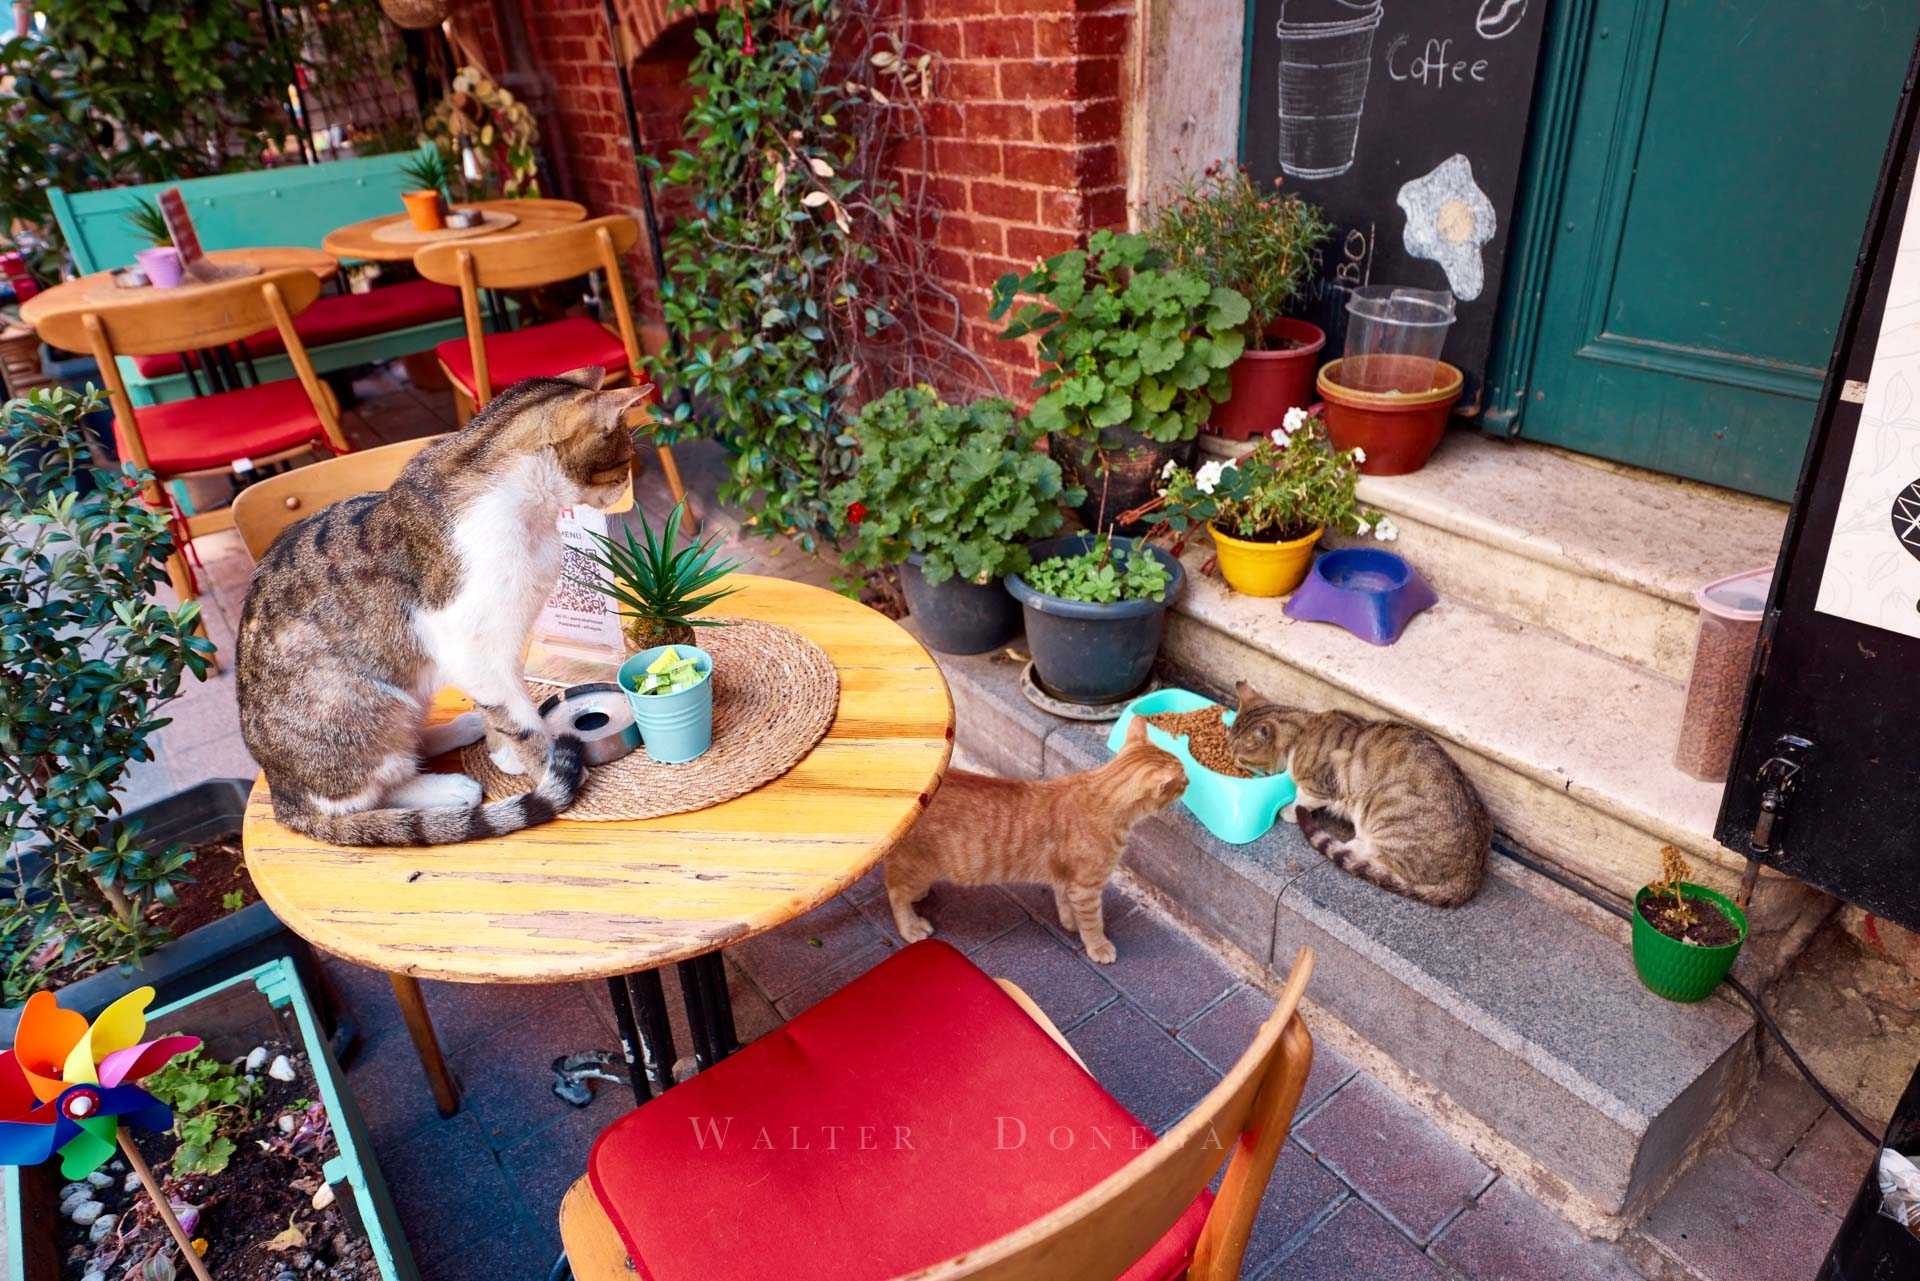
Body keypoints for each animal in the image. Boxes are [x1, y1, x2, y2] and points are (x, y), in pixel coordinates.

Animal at [883, 722, 1182, 960]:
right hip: (917, 869)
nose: (1188, 781)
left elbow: (1065, 902)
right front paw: (1098, 946)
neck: (1101, 793)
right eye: (1183, 780)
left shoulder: (1068, 880)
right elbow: (1093, 922)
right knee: (895, 892)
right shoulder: (1087, 888)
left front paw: (1070, 922)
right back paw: (911, 926)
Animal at [1228, 687, 1482, 906]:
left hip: (1387, 813)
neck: (1303, 730)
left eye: (1239, 758)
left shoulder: (1319, 786)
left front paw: (1289, 811)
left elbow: (1302, 799)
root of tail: (1469, 876)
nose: (1231, 759)